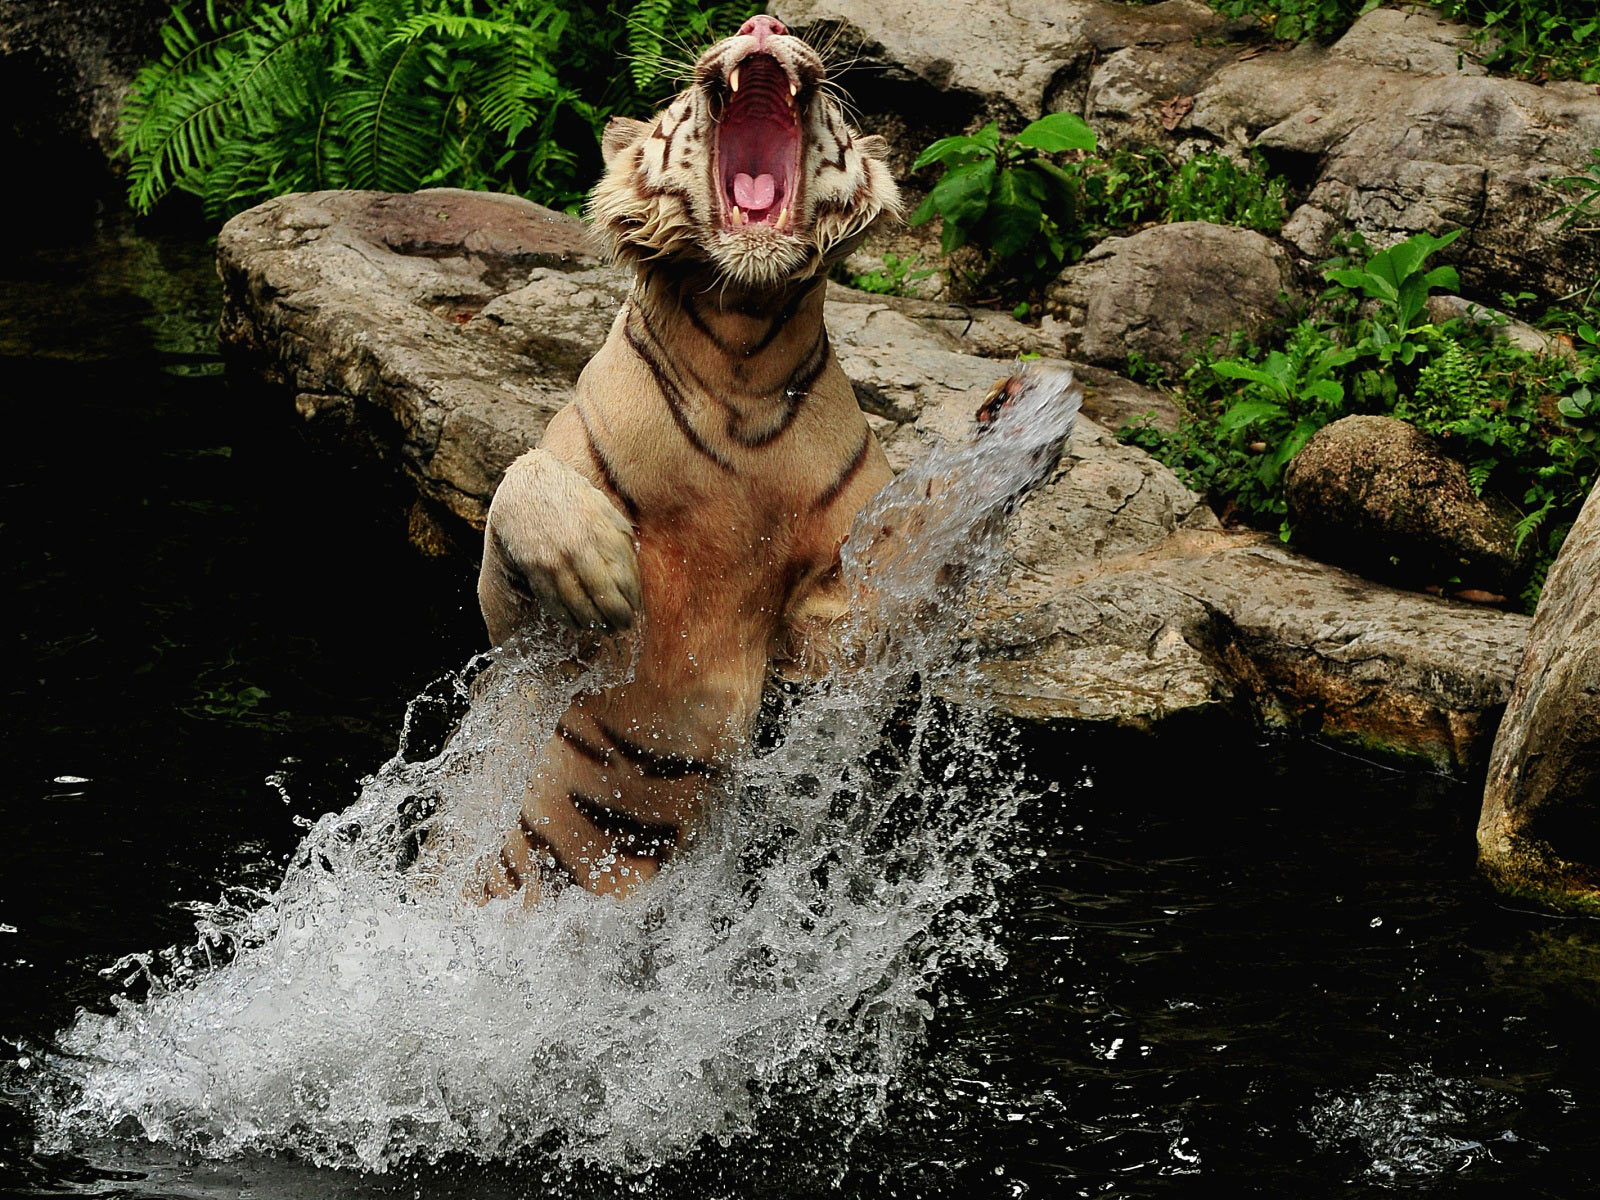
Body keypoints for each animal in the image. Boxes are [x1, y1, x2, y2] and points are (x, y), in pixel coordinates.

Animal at [470, 16, 1075, 902]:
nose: (766, 25)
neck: (741, 357)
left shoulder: (831, 633)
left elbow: (917, 554)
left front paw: (1022, 421)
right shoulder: (521, 639)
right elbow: (520, 485)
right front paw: (597, 570)